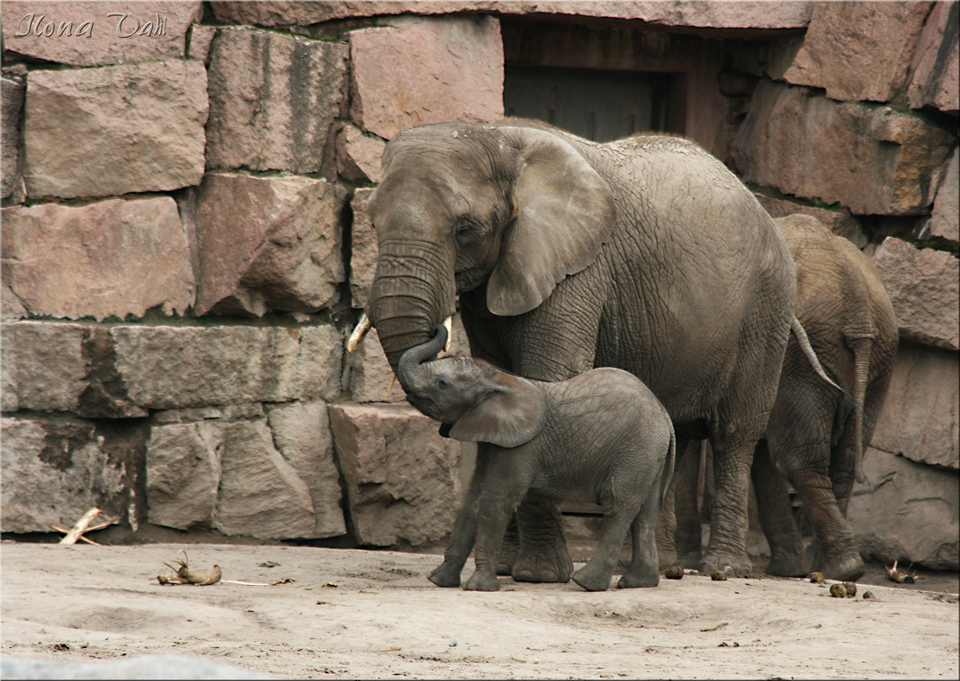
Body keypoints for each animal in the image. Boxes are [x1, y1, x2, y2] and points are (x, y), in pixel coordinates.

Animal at [398, 324, 676, 588]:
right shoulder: (491, 436)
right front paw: (438, 580)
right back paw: (638, 583)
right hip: (648, 454)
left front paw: (478, 587)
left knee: (618, 506)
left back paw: (586, 583)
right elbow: (472, 498)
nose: (436, 328)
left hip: (636, 449)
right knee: (645, 513)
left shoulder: (522, 445)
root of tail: (664, 414)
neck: (500, 379)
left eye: (442, 384)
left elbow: (495, 500)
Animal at [672, 214, 896, 580]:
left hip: (804, 350)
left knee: (795, 455)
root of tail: (858, 302)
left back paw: (836, 569)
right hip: (876, 356)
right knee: (844, 458)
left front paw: (684, 560)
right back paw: (831, 569)